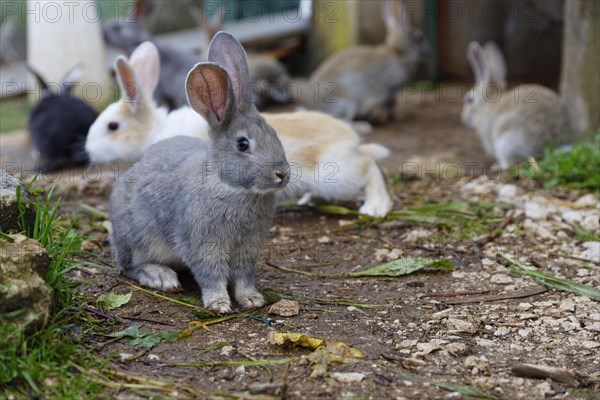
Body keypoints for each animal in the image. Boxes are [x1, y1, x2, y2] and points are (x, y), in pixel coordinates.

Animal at [110, 31, 292, 312]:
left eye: (274, 134)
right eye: (243, 144)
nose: (282, 174)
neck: (230, 185)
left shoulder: (247, 248)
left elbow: (243, 276)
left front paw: (251, 299)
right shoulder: (203, 245)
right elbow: (211, 275)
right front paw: (219, 304)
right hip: (138, 239)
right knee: (130, 266)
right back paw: (161, 276)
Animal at [464, 41, 572, 170]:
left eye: (469, 100)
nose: (463, 118)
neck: (486, 105)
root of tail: (546, 147)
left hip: (505, 141)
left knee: (511, 163)